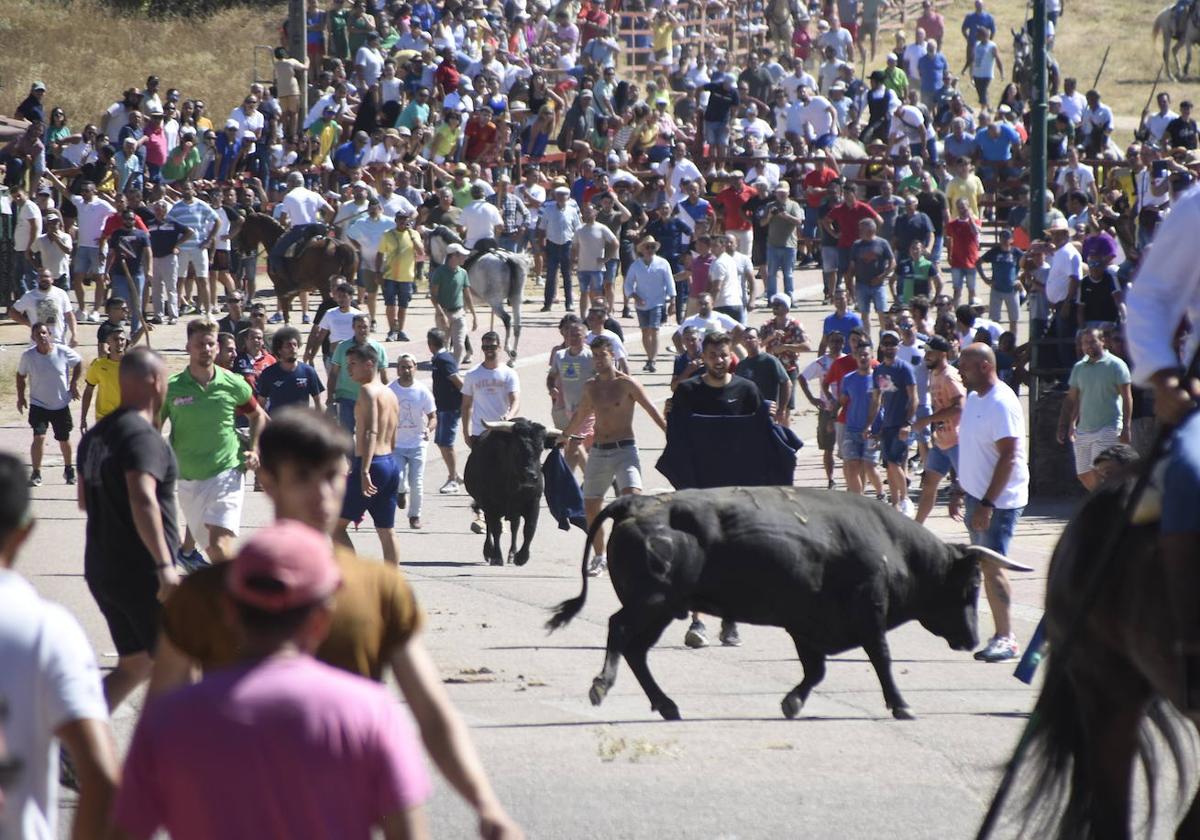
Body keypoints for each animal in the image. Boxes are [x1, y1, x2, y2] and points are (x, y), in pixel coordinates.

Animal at [429, 228, 528, 362]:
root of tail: (506, 259)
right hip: (516, 298)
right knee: (518, 325)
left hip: (495, 301)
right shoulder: (464, 305)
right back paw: (512, 357)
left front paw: (466, 353)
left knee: (507, 319)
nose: (432, 266)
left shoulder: (461, 304)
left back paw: (508, 348)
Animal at [549, 489, 1027, 720]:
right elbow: (881, 660)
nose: (972, 639)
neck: (892, 546)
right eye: (971, 585)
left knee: (636, 649)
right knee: (620, 632)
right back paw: (602, 686)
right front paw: (902, 705)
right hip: (654, 602)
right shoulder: (868, 616)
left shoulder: (806, 625)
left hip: (663, 609)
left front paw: (792, 703)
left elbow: (815, 671)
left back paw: (667, 706)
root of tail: (636, 502)